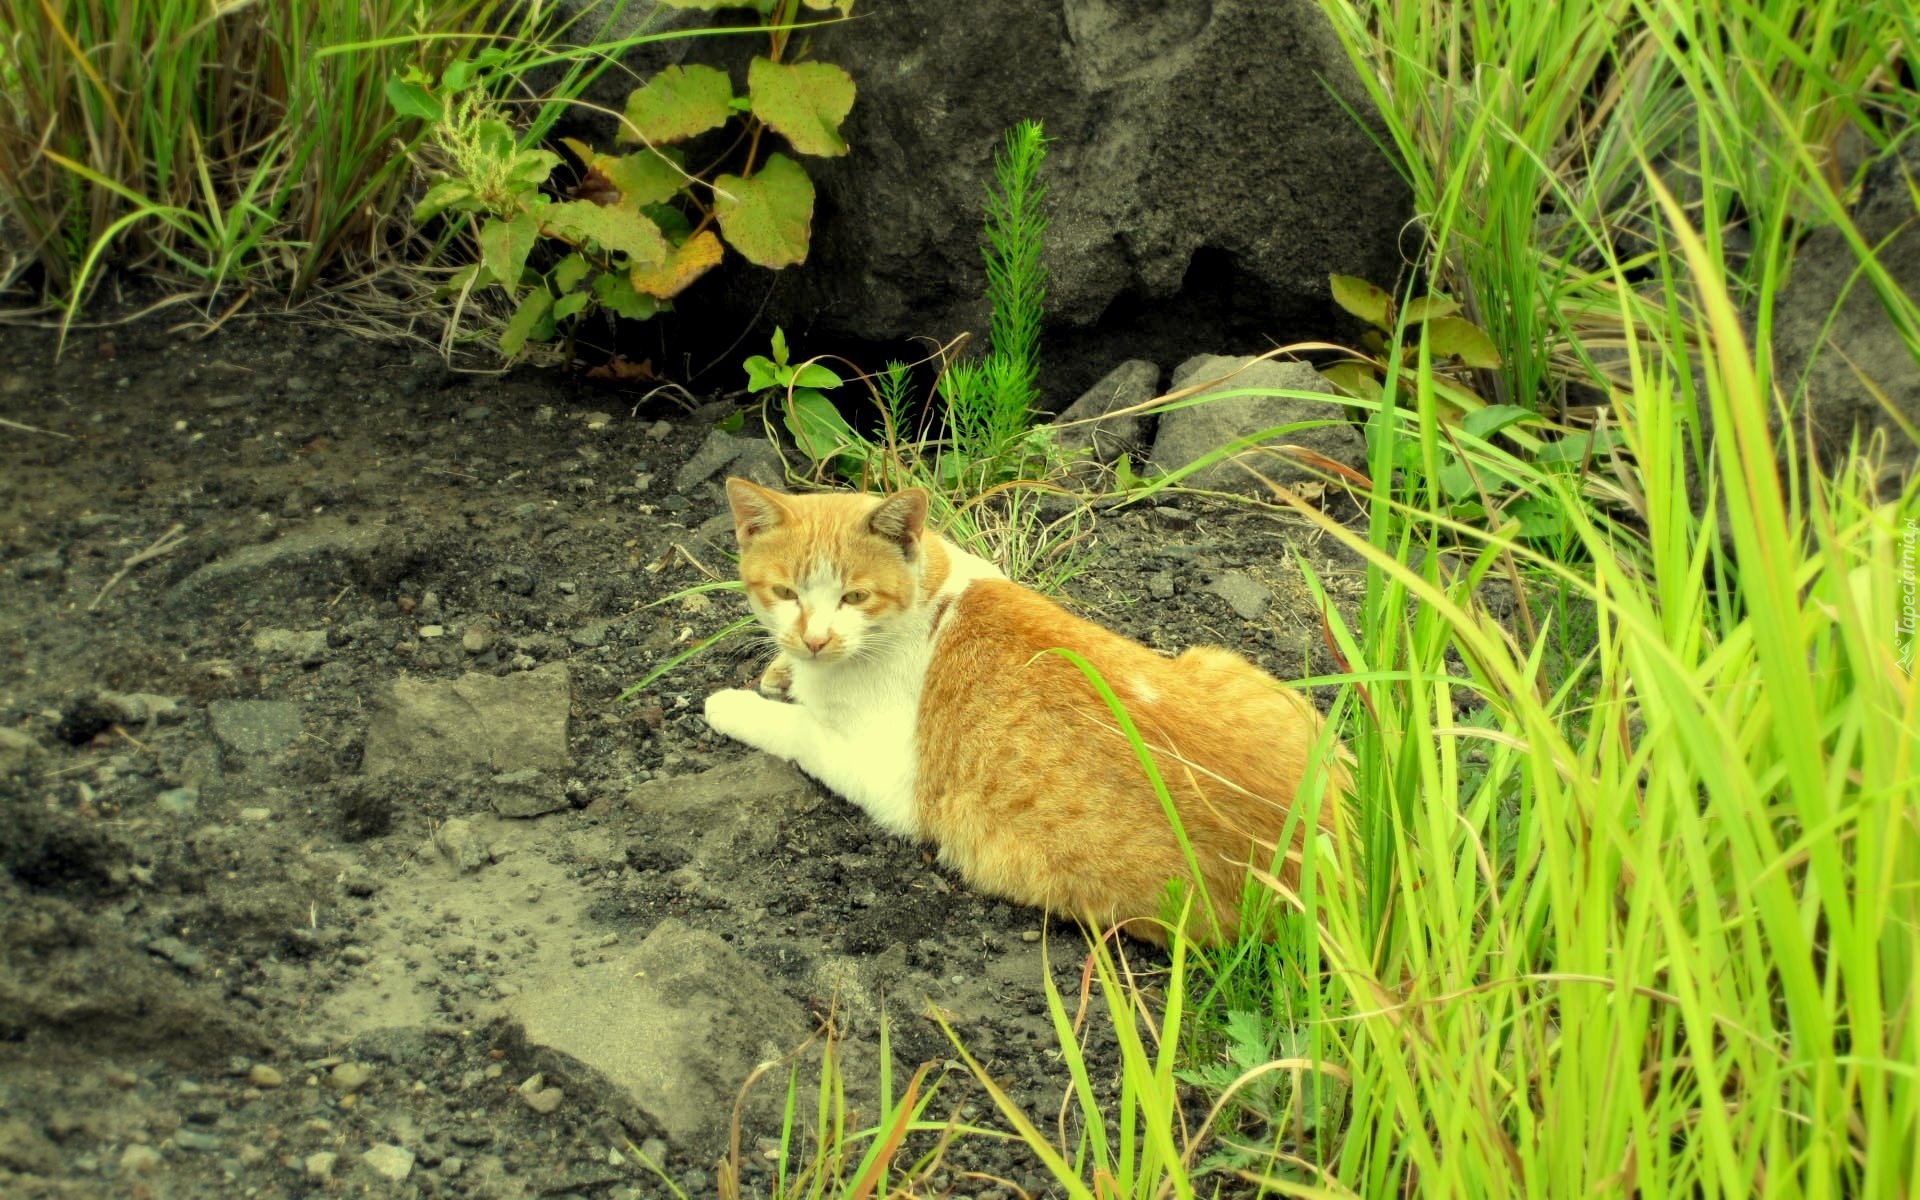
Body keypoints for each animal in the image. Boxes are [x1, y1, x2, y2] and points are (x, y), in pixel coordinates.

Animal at [706, 472, 1351, 940]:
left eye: (855, 597)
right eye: (785, 592)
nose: (814, 639)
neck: (930, 599)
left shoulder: (883, 777)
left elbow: (796, 728)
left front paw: (734, 703)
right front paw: (781, 667)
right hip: (1226, 664)